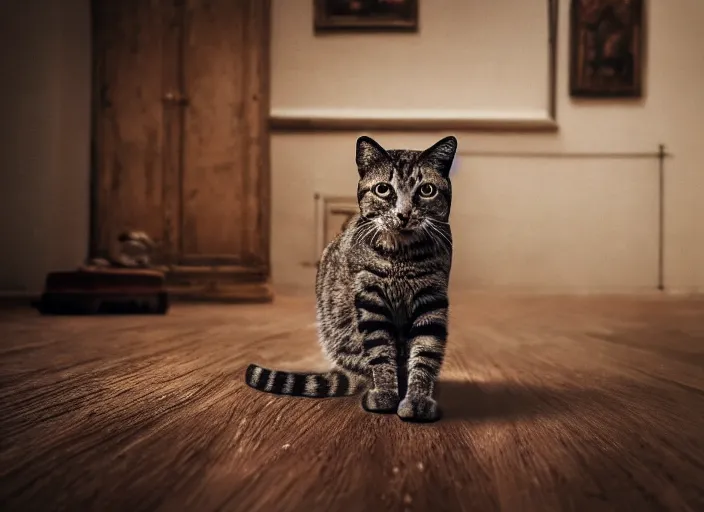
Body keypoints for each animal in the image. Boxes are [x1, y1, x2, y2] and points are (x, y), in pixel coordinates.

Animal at [245, 134, 460, 422]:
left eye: (426, 190)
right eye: (383, 189)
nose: (403, 214)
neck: (401, 256)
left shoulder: (431, 299)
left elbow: (425, 353)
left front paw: (417, 400)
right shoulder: (371, 300)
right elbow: (380, 352)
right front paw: (385, 394)